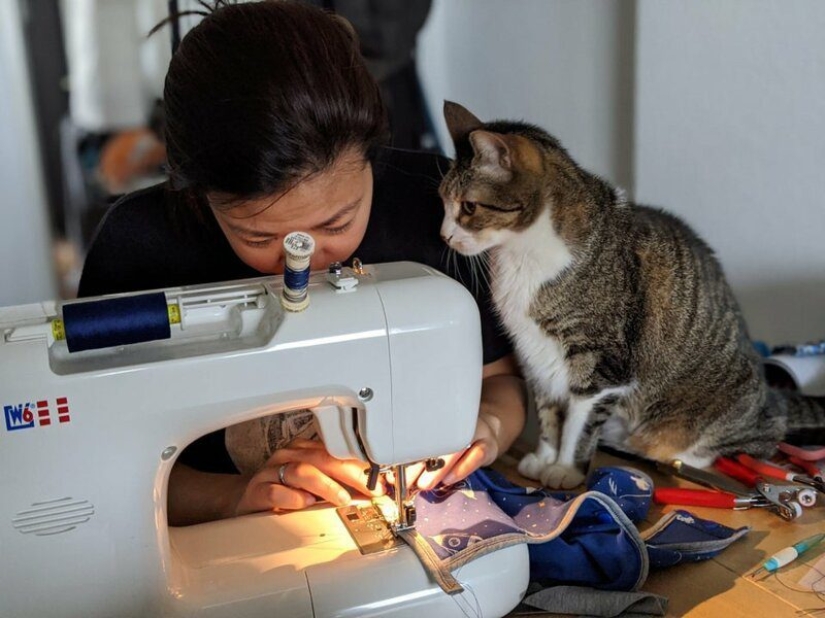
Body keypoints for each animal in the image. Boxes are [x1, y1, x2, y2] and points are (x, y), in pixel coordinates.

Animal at [438, 100, 824, 486]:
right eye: (442, 200)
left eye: (469, 207)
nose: (444, 235)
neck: (523, 255)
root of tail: (770, 395)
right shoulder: (534, 355)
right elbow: (548, 414)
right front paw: (543, 457)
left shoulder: (601, 365)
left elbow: (578, 424)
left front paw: (565, 469)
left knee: (757, 441)